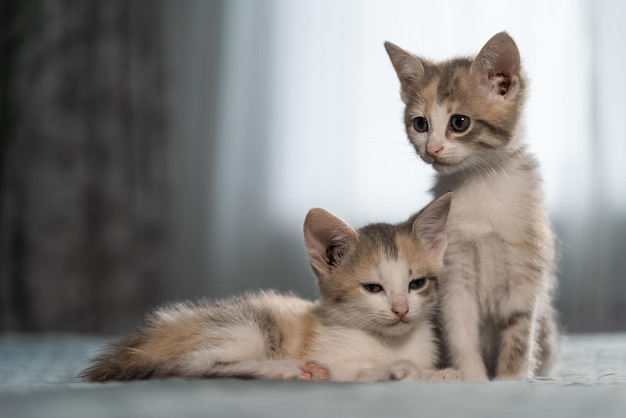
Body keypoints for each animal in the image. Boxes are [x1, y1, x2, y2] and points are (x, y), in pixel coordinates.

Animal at [81, 193, 458, 382]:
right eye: (372, 288)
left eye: (416, 284)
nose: (401, 310)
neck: (389, 343)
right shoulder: (332, 356)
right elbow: (355, 370)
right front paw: (398, 370)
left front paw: (441, 375)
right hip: (245, 327)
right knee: (189, 366)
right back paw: (281, 369)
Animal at [382, 31, 560, 380]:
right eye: (420, 124)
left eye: (459, 122)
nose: (432, 149)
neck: (481, 184)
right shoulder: (454, 271)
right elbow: (460, 329)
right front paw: (471, 377)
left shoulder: (526, 263)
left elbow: (520, 330)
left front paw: (511, 379)